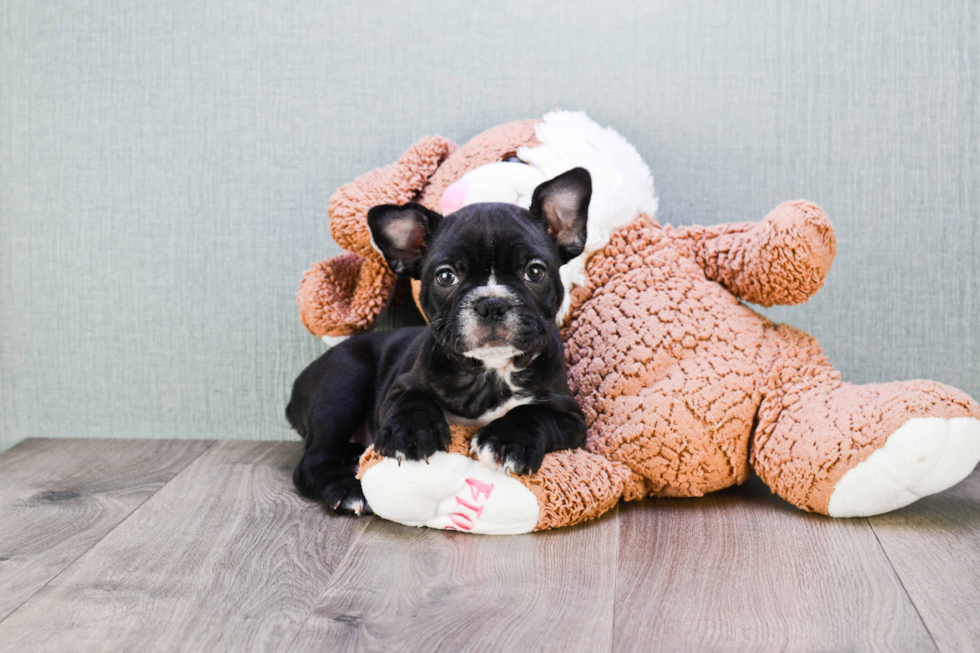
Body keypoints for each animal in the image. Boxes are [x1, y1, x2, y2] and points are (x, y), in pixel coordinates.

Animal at [286, 167, 588, 516]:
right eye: (446, 277)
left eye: (535, 272)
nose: (492, 303)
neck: (490, 372)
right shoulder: (398, 388)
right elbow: (413, 400)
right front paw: (411, 432)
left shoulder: (572, 418)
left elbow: (534, 414)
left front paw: (508, 441)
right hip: (345, 379)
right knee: (311, 462)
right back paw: (347, 490)